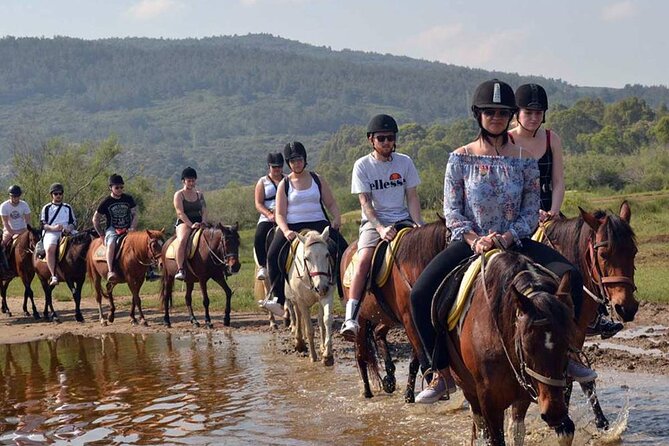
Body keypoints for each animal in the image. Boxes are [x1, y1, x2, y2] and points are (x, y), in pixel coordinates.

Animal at [284, 228, 336, 364]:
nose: (321, 287)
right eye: (306, 258)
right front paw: (313, 356)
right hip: (295, 300)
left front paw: (327, 355)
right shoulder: (301, 302)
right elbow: (309, 329)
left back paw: (321, 347)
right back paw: (299, 343)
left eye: (327, 255)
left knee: (319, 320)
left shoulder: (327, 296)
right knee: (298, 315)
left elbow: (326, 320)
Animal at [340, 221, 448, 402]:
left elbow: (414, 361)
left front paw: (409, 395)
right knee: (361, 356)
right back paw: (367, 392)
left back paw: (389, 379)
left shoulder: (416, 320)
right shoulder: (409, 320)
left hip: (386, 317)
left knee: (378, 333)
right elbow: (423, 359)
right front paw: (432, 389)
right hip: (361, 319)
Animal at [444, 251, 576, 446]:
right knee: (479, 425)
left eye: (567, 345)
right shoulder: (489, 402)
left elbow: (517, 432)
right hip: (467, 388)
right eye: (526, 347)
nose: (554, 413)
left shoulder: (522, 396)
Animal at [536, 201, 636, 428]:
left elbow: (579, 379)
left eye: (634, 252)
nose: (627, 308)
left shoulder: (577, 333)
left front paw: (601, 421)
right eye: (603, 255)